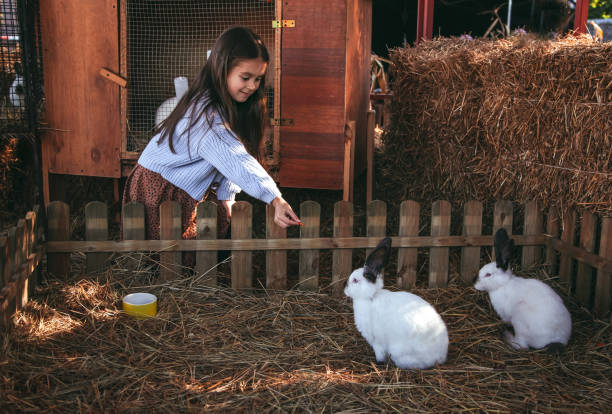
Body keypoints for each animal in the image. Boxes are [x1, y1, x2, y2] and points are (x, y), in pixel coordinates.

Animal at [344, 238, 450, 370]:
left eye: (355, 280)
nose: (345, 289)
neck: (371, 296)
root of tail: (441, 357)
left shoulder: (378, 342)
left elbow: (380, 354)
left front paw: (377, 363)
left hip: (398, 352)